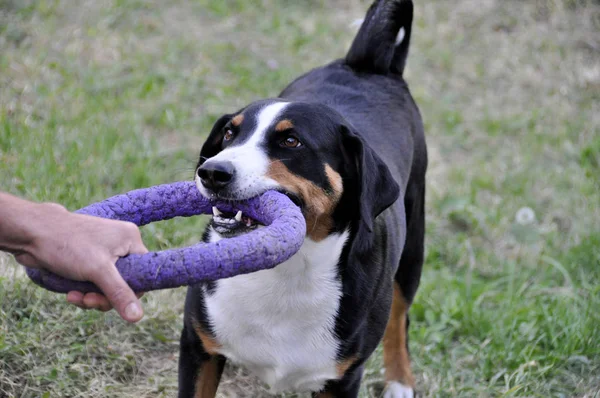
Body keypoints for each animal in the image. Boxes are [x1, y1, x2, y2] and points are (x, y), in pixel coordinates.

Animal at [178, 1, 426, 396]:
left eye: (291, 141)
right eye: (229, 134)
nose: (212, 172)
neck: (286, 273)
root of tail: (368, 66)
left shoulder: (342, 379)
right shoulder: (198, 346)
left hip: (413, 248)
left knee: (400, 316)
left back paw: (400, 382)